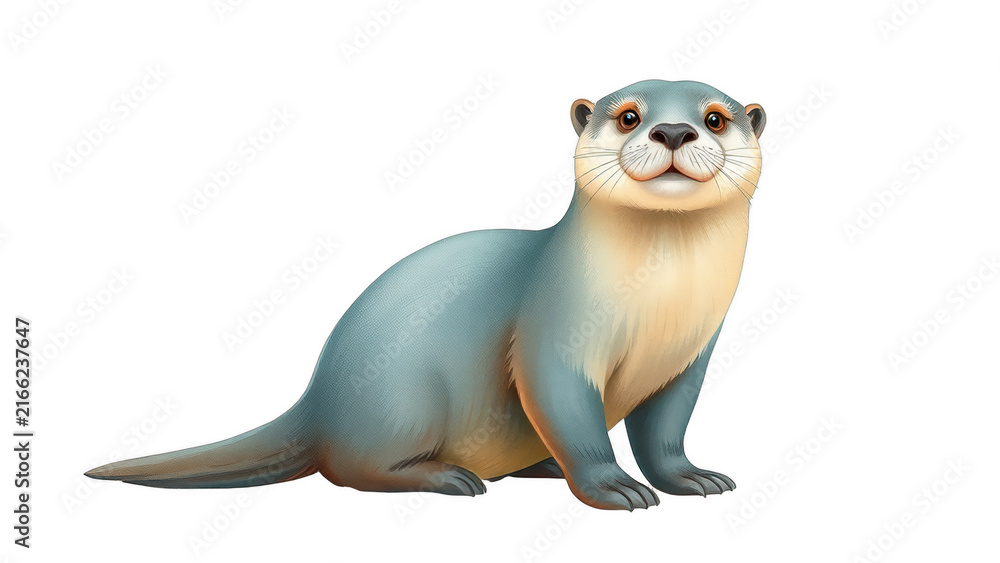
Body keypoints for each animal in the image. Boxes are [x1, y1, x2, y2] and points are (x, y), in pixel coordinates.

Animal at [86, 79, 766, 511]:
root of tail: (318, 400)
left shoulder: (690, 356)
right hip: (405, 399)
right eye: (627, 115)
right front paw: (612, 488)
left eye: (715, 117)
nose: (672, 130)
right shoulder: (554, 333)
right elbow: (568, 410)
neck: (660, 303)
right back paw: (450, 478)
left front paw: (691, 477)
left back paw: (539, 466)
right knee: (354, 470)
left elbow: (666, 429)